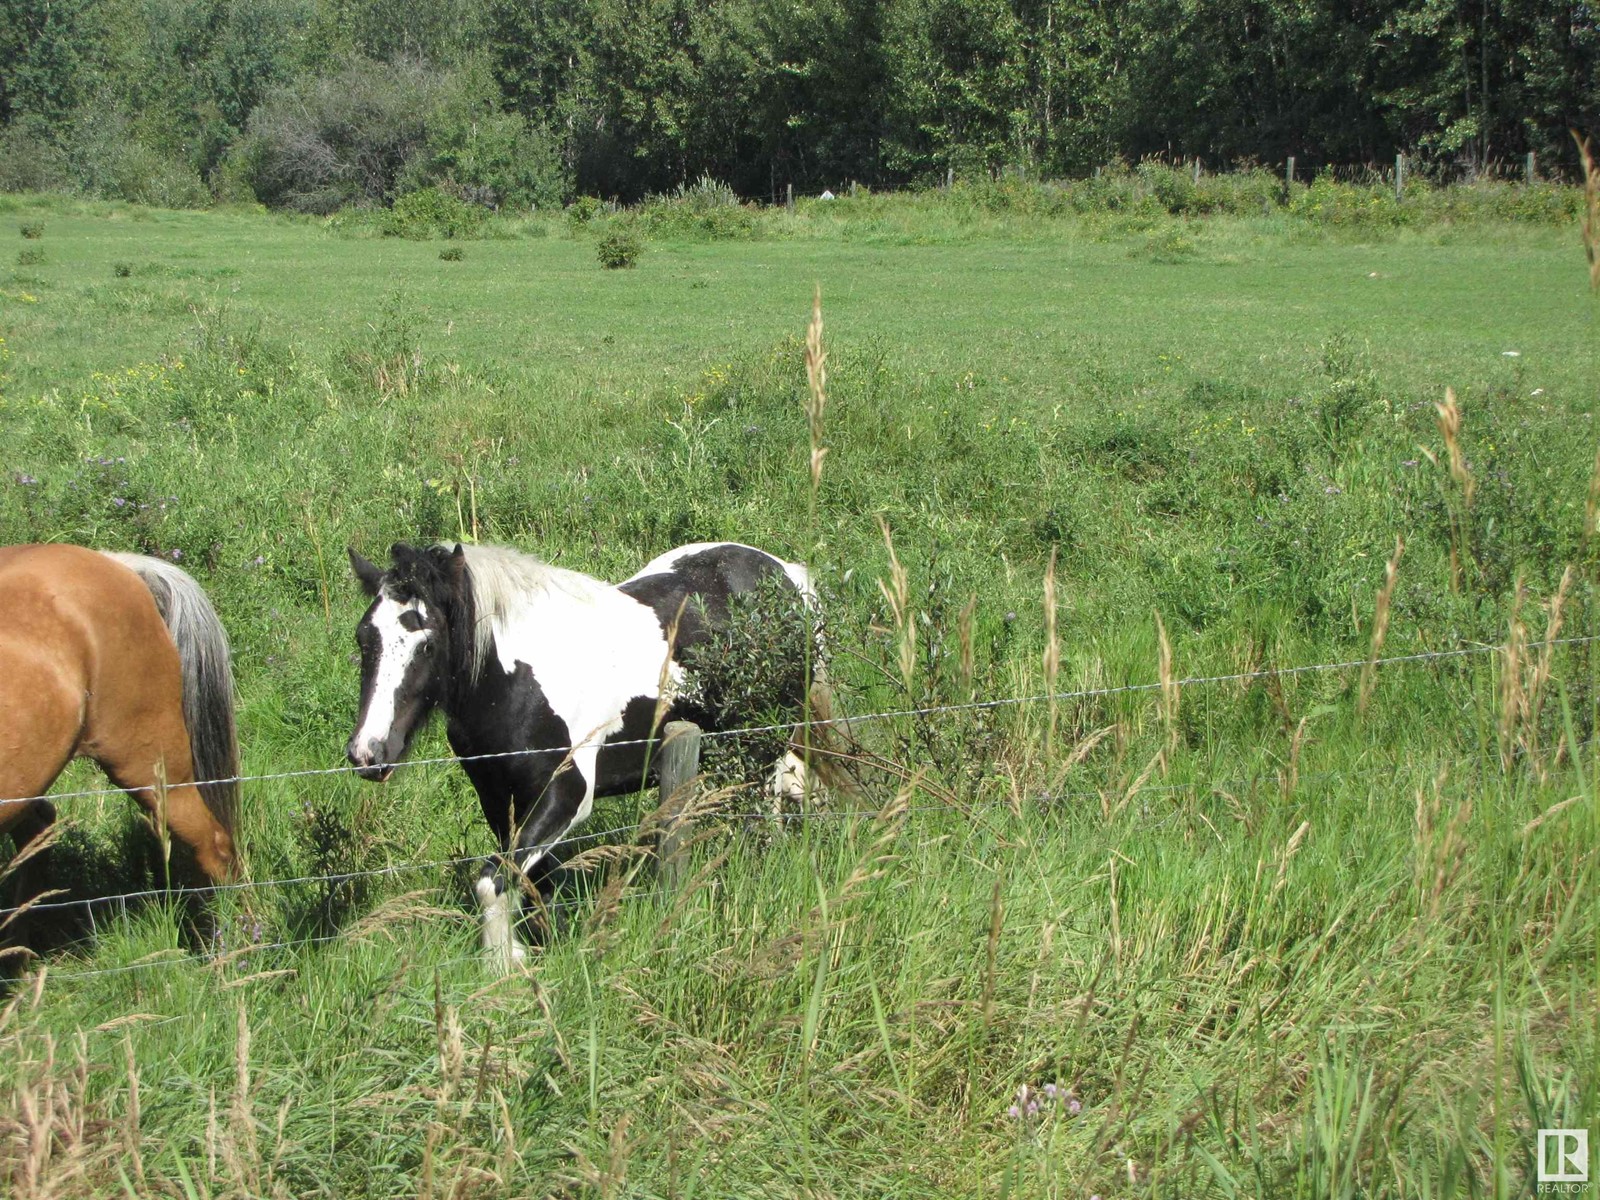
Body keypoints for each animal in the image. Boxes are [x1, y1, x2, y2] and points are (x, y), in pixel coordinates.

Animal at [337, 540, 812, 972]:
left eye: (427, 645)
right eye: (364, 639)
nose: (368, 752)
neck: (515, 684)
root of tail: (786, 572)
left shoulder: (567, 795)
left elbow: (494, 881)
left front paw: (502, 967)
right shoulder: (499, 800)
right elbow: (531, 880)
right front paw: (546, 945)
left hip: (765, 736)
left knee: (767, 805)